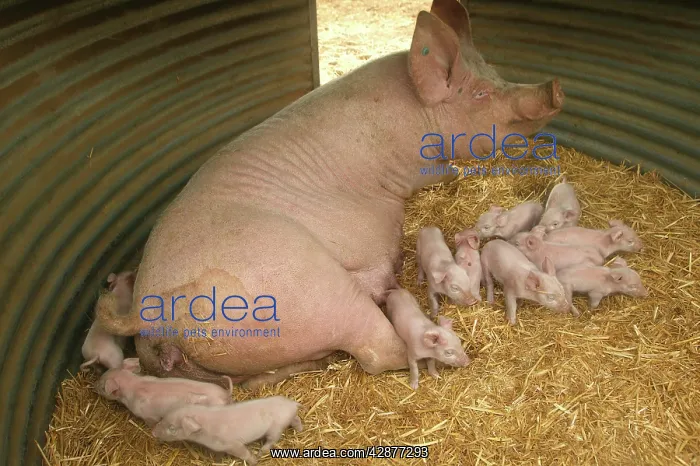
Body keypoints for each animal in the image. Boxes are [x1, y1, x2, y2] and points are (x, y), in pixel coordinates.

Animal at [95, 367, 234, 427]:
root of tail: (225, 394)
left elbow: (152, 422)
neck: (133, 386)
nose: (94, 386)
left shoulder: (148, 415)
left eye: (102, 387)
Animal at [96, 0, 565, 389]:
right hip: (310, 292)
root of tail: (151, 312)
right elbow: (444, 173)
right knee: (378, 349)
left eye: (494, 70)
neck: (417, 114)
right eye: (481, 93)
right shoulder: (415, 170)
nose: (556, 87)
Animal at [152, 396, 303, 465]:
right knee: (296, 420)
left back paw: (260, 452)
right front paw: (217, 459)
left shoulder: (233, 444)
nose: (153, 432)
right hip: (289, 419)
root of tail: (292, 403)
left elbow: (244, 453)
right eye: (164, 417)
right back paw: (301, 430)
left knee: (272, 440)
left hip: (276, 427)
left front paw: (254, 461)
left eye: (172, 428)